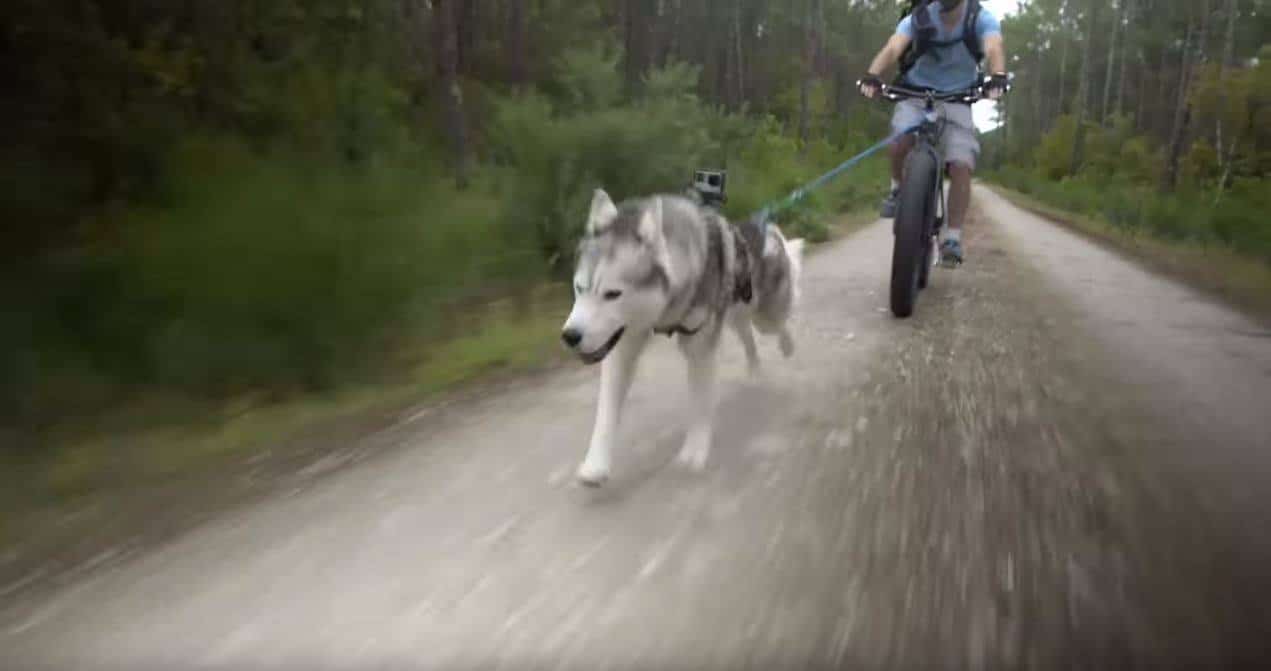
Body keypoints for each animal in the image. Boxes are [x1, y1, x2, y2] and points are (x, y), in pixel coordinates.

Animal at [559, 188, 803, 488]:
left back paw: (787, 344)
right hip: (734, 315)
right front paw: (596, 464)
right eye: (579, 288)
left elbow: (699, 403)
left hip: (763, 315)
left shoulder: (699, 349)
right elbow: (606, 412)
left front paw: (695, 450)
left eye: (612, 294)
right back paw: (755, 371)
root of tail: (762, 230)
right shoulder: (623, 346)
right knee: (748, 337)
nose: (570, 336)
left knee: (779, 322)